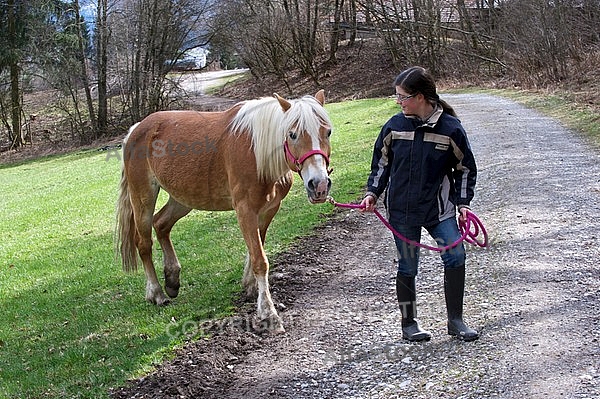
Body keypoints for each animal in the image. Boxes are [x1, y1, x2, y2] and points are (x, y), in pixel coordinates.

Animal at [115, 90, 336, 332]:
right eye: (292, 134)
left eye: (328, 132)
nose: (319, 185)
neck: (257, 154)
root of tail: (136, 129)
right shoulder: (245, 210)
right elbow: (260, 260)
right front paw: (268, 313)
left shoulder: (267, 211)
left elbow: (256, 251)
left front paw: (251, 288)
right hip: (143, 197)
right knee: (144, 243)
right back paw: (156, 293)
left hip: (183, 198)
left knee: (162, 224)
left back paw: (172, 279)